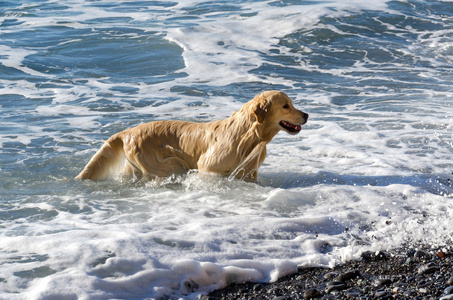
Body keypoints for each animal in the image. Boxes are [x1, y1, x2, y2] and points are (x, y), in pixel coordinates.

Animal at [76, 90, 308, 182]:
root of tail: (127, 132)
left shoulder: (249, 172)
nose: (306, 115)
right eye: (286, 106)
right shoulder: (207, 167)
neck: (247, 135)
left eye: (291, 103)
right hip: (168, 165)